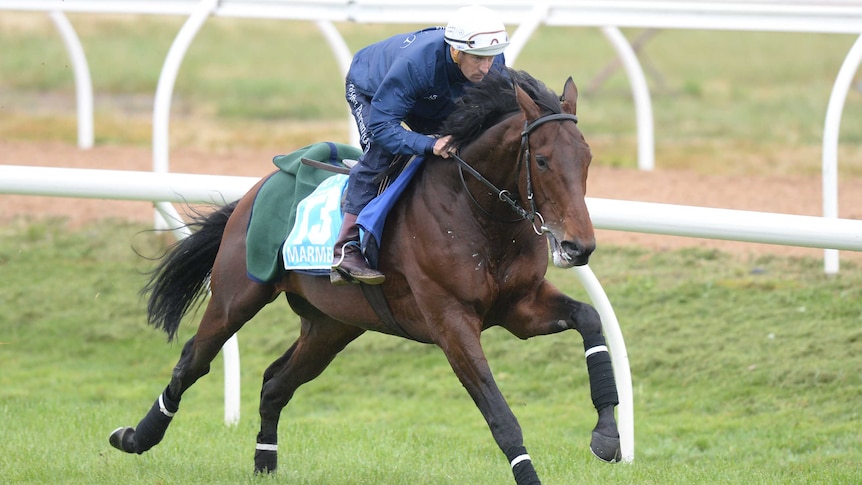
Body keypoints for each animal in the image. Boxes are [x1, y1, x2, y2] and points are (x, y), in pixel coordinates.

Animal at [109, 69, 620, 485]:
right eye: (543, 161)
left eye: (588, 158)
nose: (578, 246)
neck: (476, 211)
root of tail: (257, 188)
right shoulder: (451, 321)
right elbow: (499, 412)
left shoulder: (519, 306)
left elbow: (591, 320)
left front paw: (607, 437)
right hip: (237, 296)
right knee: (193, 361)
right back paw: (135, 437)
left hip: (332, 325)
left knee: (276, 382)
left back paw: (265, 463)